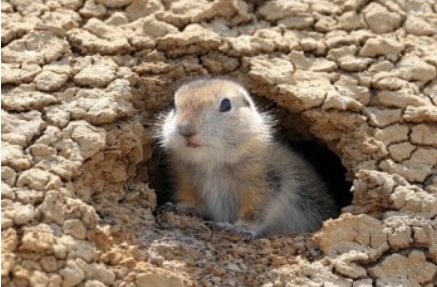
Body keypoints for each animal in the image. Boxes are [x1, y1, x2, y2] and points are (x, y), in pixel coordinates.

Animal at [158, 78, 338, 238]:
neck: (212, 163)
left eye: (226, 104)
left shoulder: (266, 182)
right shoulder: (186, 178)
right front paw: (177, 208)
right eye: (174, 106)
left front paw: (237, 228)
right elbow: (193, 201)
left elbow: (257, 210)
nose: (186, 129)